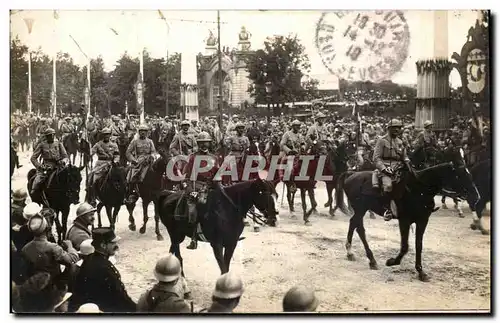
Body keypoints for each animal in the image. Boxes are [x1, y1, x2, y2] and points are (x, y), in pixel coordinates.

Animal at [334, 149, 478, 280]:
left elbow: (419, 245)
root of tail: (352, 174)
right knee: (359, 228)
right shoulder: (404, 220)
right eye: (460, 175)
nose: (476, 196)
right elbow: (405, 246)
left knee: (354, 224)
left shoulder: (422, 220)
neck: (419, 189)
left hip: (361, 210)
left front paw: (421, 271)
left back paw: (353, 254)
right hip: (360, 209)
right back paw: (369, 259)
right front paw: (392, 261)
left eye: (469, 173)